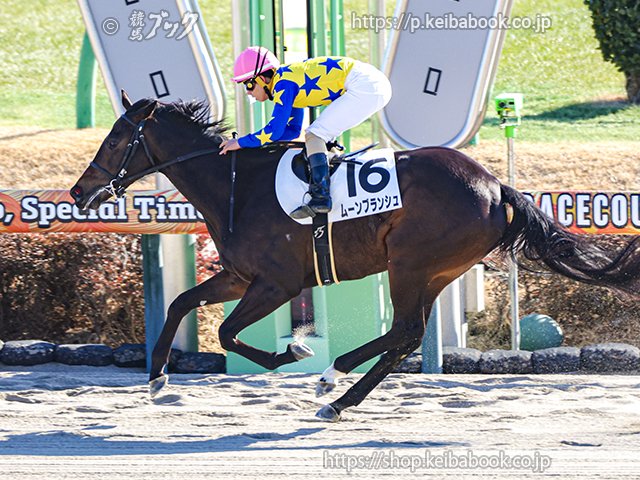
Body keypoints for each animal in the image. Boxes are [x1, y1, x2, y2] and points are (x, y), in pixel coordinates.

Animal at [70, 91, 640, 422]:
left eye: (117, 138)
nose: (79, 192)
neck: (237, 187)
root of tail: (496, 185)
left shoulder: (276, 284)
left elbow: (227, 332)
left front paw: (294, 352)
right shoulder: (238, 276)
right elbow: (180, 304)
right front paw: (156, 377)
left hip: (410, 264)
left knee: (404, 331)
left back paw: (332, 378)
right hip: (436, 270)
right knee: (405, 335)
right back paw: (340, 396)